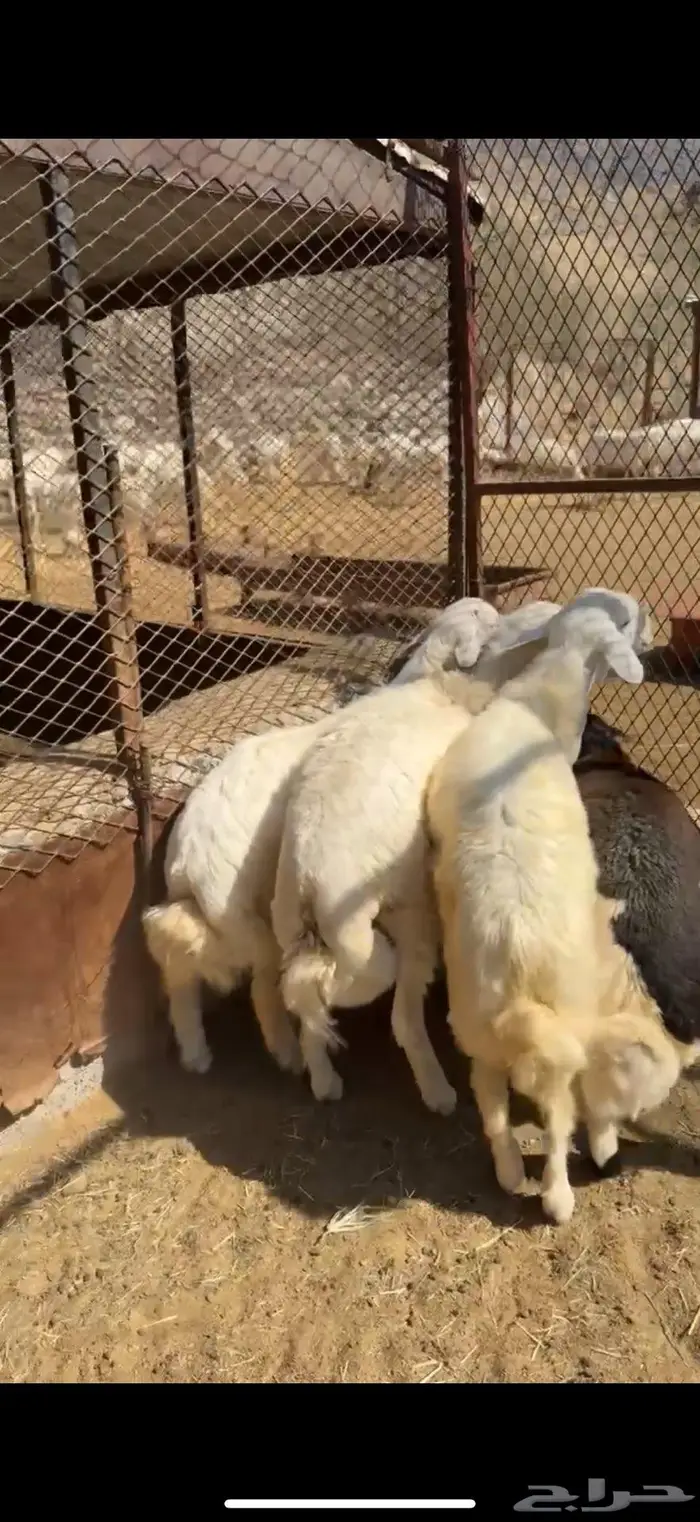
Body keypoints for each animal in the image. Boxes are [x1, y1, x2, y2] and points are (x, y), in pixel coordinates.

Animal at [142, 596, 502, 1079]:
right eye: (483, 618)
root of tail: (189, 866)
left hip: (226, 919)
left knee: (179, 965)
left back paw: (197, 1052)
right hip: (252, 923)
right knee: (264, 986)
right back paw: (289, 1054)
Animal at [426, 591, 675, 1224]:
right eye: (627, 623)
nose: (652, 635)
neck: (536, 706)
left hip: (479, 1027)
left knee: (493, 1111)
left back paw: (511, 1174)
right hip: (568, 1023)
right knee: (560, 1118)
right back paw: (558, 1198)